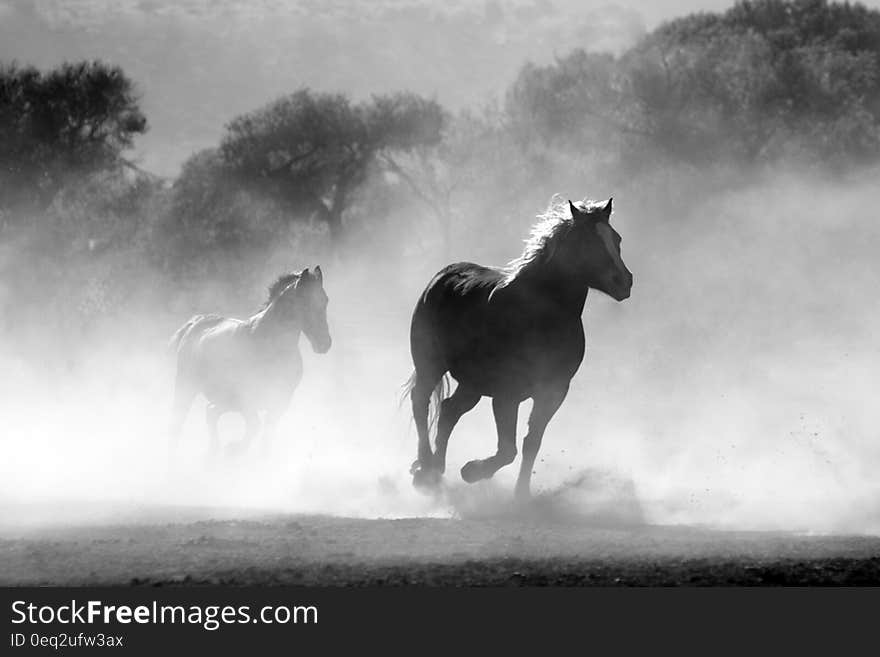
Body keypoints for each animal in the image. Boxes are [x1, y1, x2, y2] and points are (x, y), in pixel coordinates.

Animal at [168, 266, 330, 456]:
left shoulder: (281, 401)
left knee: (211, 413)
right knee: (178, 422)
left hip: (225, 400)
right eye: (305, 302)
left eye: (325, 300)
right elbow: (255, 426)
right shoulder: (247, 398)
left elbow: (266, 436)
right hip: (187, 387)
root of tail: (195, 323)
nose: (324, 343)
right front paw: (233, 449)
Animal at [406, 197, 632, 500]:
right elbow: (507, 450)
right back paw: (426, 470)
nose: (624, 281)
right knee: (421, 402)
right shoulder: (507, 394)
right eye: (588, 242)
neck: (541, 316)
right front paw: (472, 471)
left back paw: (436, 470)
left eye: (616, 239)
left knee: (449, 410)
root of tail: (442, 276)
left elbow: (531, 443)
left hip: (472, 384)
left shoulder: (553, 392)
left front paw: (521, 494)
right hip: (430, 365)